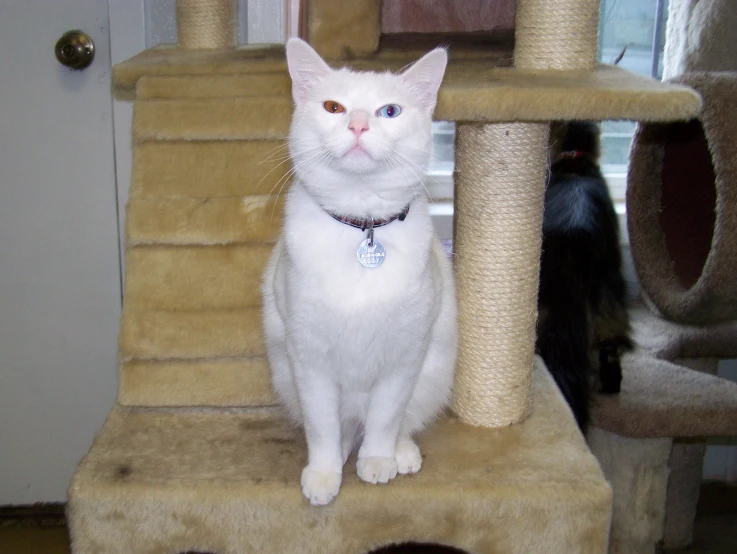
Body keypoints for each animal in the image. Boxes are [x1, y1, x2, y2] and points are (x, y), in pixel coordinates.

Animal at [258, 38, 454, 504]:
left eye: (390, 111)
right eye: (334, 106)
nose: (360, 126)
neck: (362, 229)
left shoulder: (404, 355)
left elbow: (386, 416)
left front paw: (378, 460)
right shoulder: (308, 359)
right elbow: (323, 427)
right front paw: (324, 474)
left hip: (434, 372)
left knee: (402, 421)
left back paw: (400, 454)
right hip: (286, 376)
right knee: (345, 428)